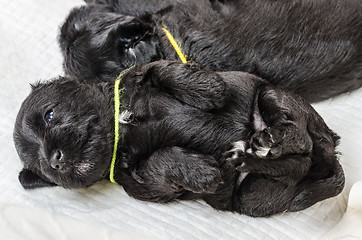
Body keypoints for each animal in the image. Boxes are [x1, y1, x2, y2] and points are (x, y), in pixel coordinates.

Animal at [12, 60, 344, 218]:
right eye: (43, 169)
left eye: (50, 115)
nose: (55, 160)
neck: (121, 127)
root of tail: (331, 150)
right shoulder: (146, 185)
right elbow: (160, 161)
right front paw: (203, 173)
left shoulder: (143, 72)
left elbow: (163, 69)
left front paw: (208, 89)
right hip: (250, 197)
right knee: (293, 165)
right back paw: (246, 155)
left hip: (274, 95)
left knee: (299, 136)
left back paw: (271, 140)